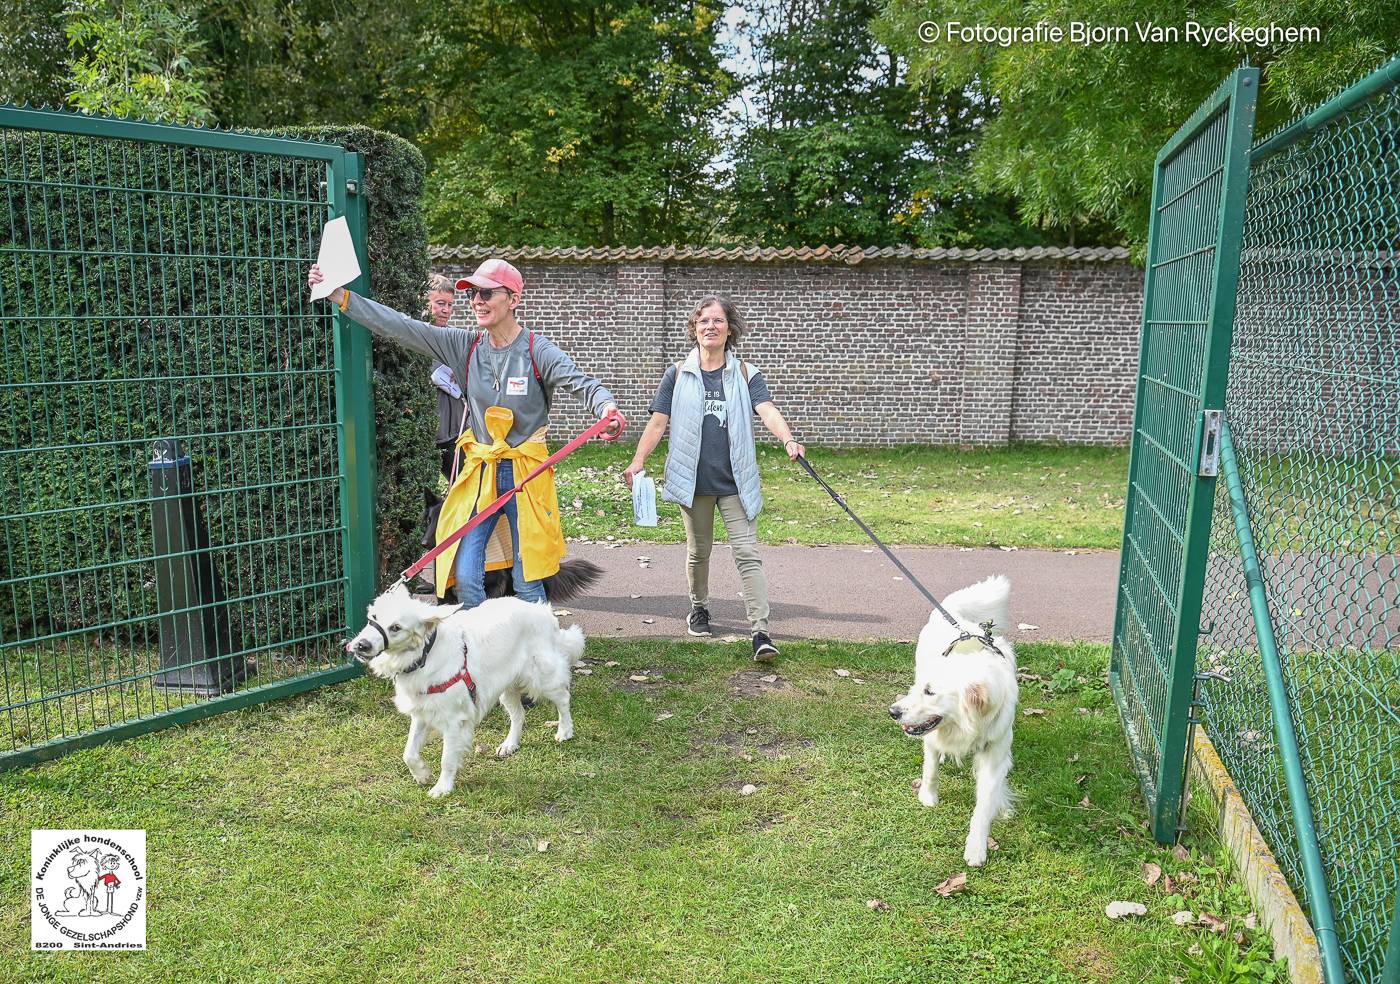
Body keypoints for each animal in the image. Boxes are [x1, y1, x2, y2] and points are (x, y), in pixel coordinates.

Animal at [347, 585, 582, 800]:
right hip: (507, 687)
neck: (424, 654)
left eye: (395, 627)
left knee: (563, 698)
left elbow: (447, 759)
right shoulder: (422, 712)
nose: (361, 645)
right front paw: (422, 774)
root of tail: (542, 610)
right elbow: (409, 753)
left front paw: (442, 787)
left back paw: (564, 731)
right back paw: (510, 744)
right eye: (373, 617)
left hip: (541, 678)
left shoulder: (453, 720)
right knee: (519, 715)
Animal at [890, 573, 1024, 867]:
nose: (893, 711)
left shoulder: (995, 753)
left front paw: (976, 848)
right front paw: (928, 797)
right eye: (918, 689)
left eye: (930, 692)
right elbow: (930, 769)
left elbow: (984, 806)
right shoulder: (931, 738)